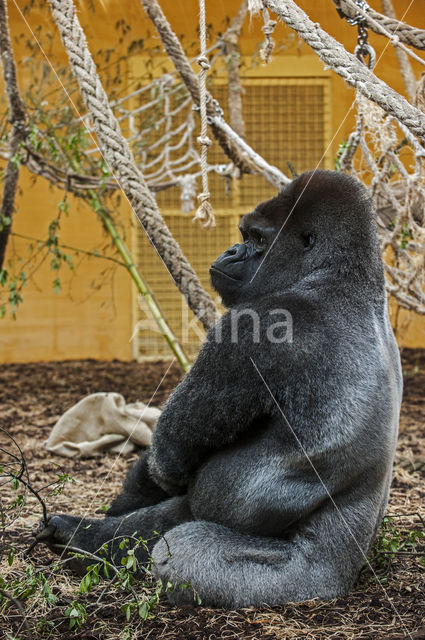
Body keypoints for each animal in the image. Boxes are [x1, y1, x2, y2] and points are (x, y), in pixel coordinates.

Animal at [35, 169, 400, 604]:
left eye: (258, 239)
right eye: (246, 234)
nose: (231, 250)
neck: (342, 276)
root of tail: (344, 578)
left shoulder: (256, 324)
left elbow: (171, 453)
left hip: (290, 583)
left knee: (180, 548)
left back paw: (81, 540)